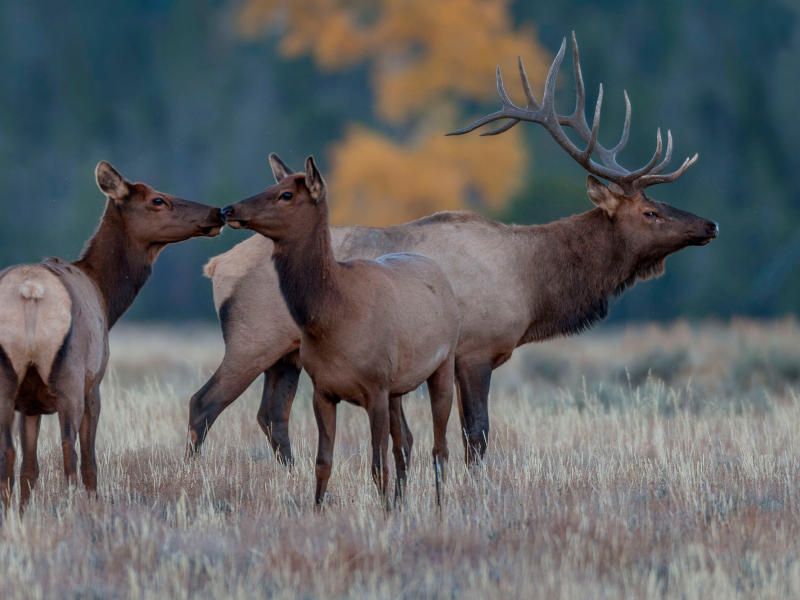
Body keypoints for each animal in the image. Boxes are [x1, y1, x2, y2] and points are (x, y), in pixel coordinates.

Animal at [0, 162, 225, 508]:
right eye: (158, 199)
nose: (217, 213)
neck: (107, 298)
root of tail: (30, 290)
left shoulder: (30, 403)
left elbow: (30, 468)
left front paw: (24, 510)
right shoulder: (94, 384)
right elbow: (89, 460)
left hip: (8, 378)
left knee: (9, 452)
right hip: (70, 375)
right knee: (70, 452)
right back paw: (74, 508)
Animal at [189, 31, 720, 464]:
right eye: (650, 212)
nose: (710, 224)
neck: (531, 285)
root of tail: (215, 266)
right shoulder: (474, 350)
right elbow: (476, 436)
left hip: (287, 355)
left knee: (271, 417)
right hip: (252, 338)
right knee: (204, 404)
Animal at [223, 156, 462, 506]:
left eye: (286, 195)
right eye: (271, 185)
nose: (228, 209)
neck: (333, 320)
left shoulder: (376, 386)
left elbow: (377, 465)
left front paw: (384, 513)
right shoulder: (323, 389)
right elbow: (323, 462)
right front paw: (319, 510)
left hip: (443, 362)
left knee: (439, 447)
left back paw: (439, 507)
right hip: (397, 386)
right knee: (405, 442)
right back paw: (402, 502)